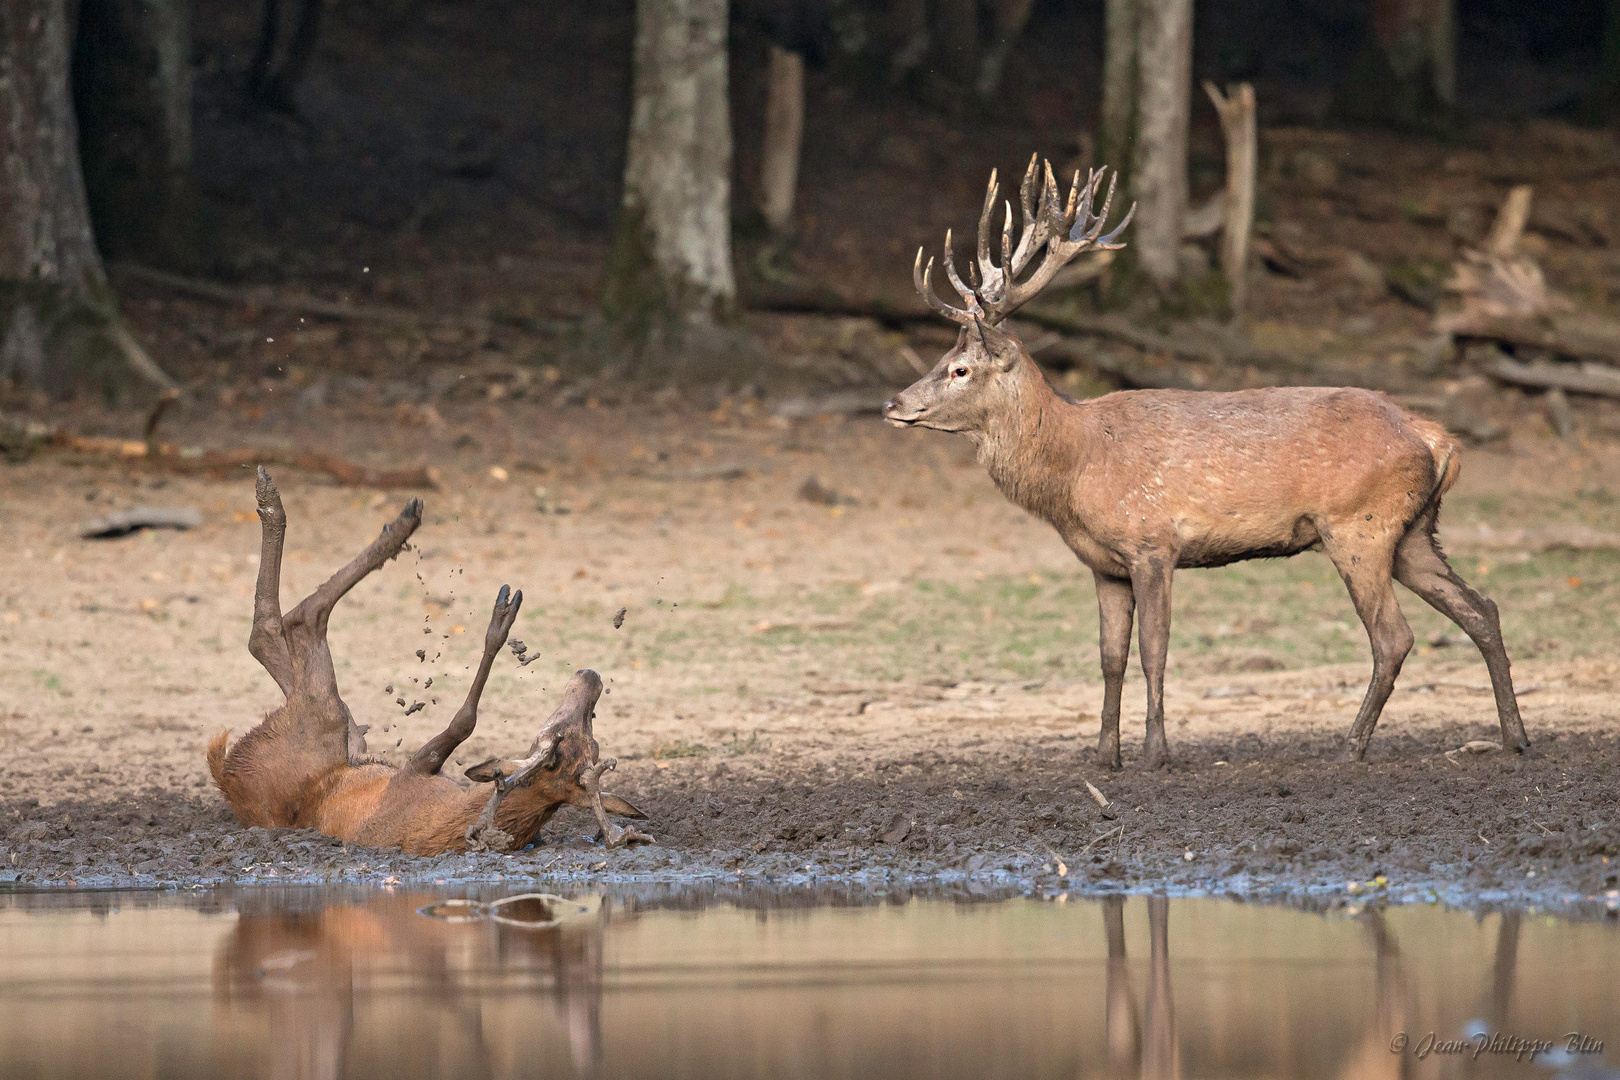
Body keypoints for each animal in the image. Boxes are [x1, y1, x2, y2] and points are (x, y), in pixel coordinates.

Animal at [208, 469, 651, 854]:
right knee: (290, 635)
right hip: (344, 739)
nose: (591, 677)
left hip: (317, 719)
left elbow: (464, 720)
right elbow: (465, 720)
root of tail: (225, 775)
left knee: (288, 625)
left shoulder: (418, 765)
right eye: (584, 732)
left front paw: (499, 621)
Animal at [887, 158, 1529, 767]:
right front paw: (1103, 756)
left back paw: (1350, 747)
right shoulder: (1103, 565)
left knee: (1394, 636)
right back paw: (1515, 738)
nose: (894, 403)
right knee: (1484, 609)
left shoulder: (1152, 543)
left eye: (960, 369)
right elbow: (1110, 658)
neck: (1077, 468)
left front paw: (1155, 754)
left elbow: (1154, 652)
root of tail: (1438, 439)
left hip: (1359, 525)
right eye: (942, 360)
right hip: (1414, 530)